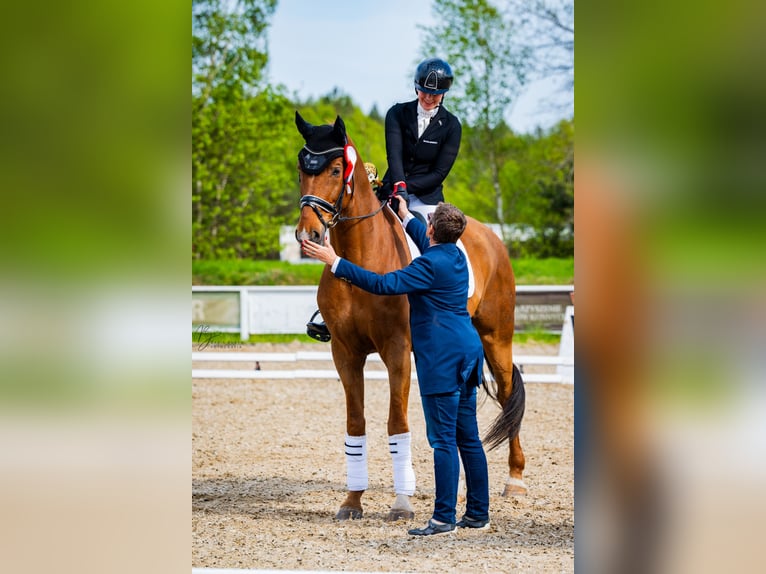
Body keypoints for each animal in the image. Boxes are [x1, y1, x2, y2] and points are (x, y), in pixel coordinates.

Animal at [294, 111, 528, 520]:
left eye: (337, 169)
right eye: (300, 169)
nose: (307, 235)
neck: (360, 255)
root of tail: (492, 238)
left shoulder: (397, 351)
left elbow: (397, 422)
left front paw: (401, 503)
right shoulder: (345, 353)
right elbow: (356, 423)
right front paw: (352, 501)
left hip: (496, 337)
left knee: (507, 392)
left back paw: (514, 480)